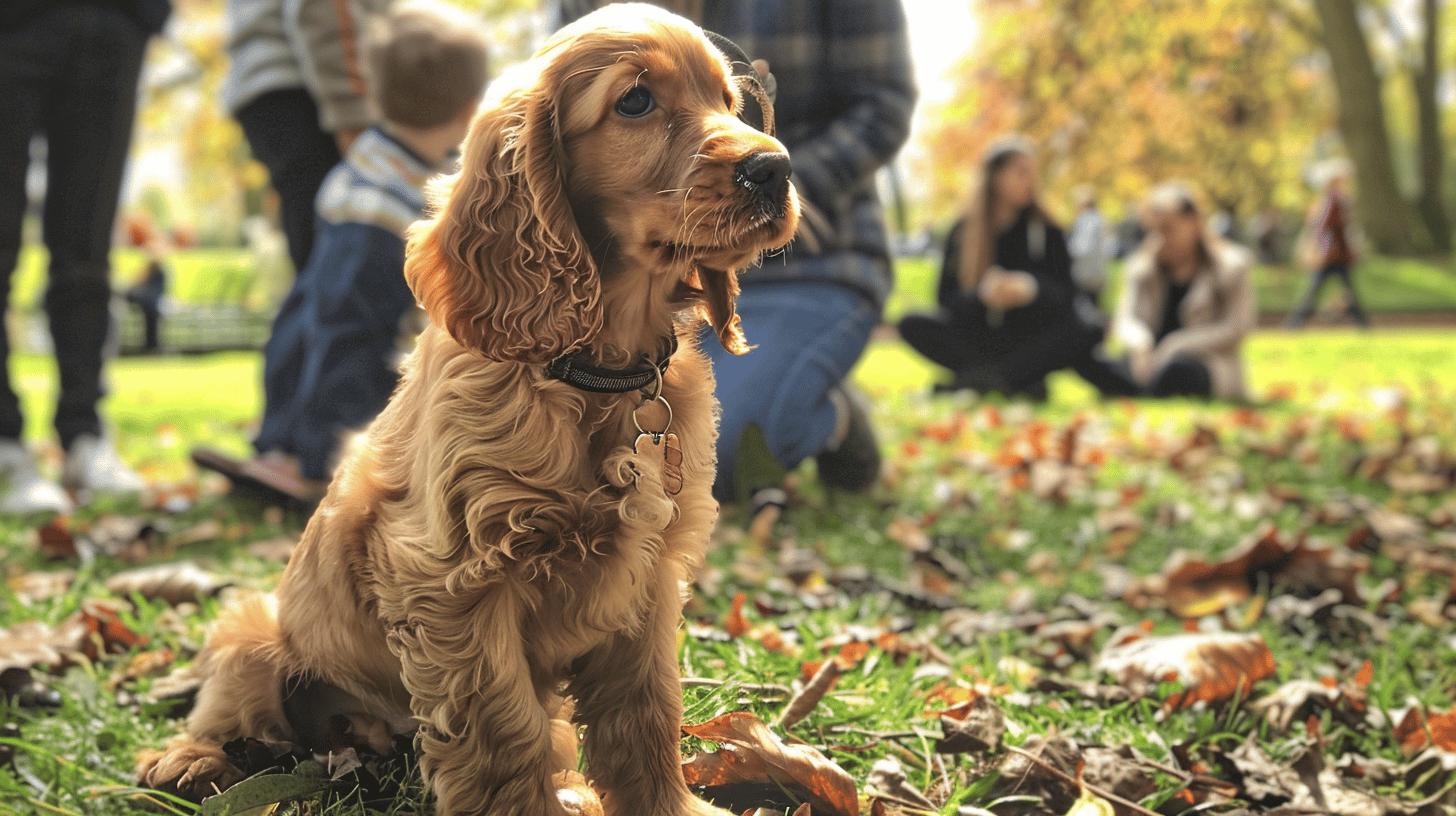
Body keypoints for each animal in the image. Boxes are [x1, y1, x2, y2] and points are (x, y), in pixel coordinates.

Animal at [139, 3, 797, 810]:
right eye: (635, 101)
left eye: (729, 103)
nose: (776, 169)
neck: (593, 373)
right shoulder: (453, 580)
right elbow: (502, 732)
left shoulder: (646, 578)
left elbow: (646, 713)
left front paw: (665, 804)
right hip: (256, 630)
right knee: (228, 698)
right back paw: (188, 759)